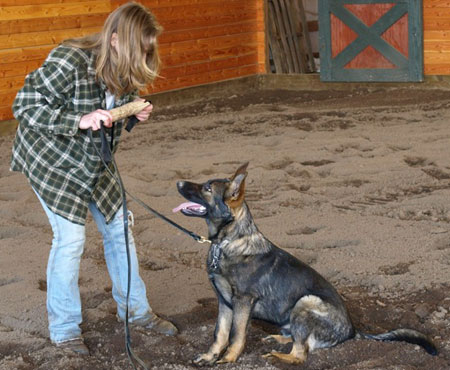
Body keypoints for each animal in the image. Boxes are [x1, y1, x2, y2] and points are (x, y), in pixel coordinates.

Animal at [173, 163, 436, 366]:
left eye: (207, 188)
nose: (177, 183)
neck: (226, 242)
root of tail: (351, 331)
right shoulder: (224, 302)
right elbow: (219, 333)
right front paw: (210, 357)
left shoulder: (242, 302)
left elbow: (236, 335)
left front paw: (228, 360)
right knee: (299, 342)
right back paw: (278, 339)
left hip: (306, 301)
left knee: (301, 354)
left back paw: (276, 356)